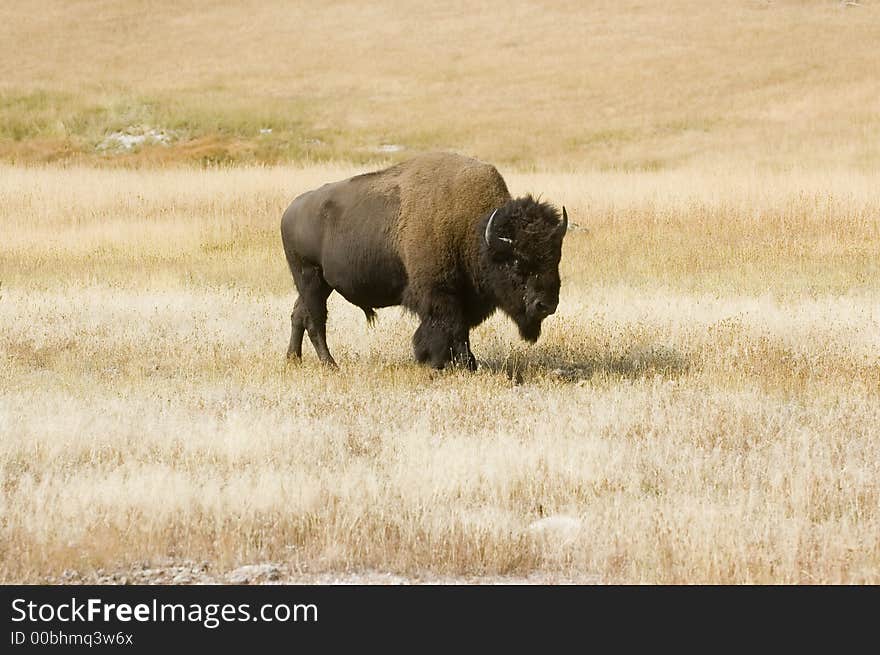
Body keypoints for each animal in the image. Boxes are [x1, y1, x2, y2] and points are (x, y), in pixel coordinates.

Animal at [282, 151, 572, 372]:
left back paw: (293, 359)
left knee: (299, 314)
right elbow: (448, 328)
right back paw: (330, 364)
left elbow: (460, 330)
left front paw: (461, 363)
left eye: (555, 258)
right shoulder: (439, 294)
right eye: (517, 263)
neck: (472, 229)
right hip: (310, 277)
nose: (546, 304)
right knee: (315, 320)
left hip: (319, 284)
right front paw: (446, 363)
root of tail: (291, 210)